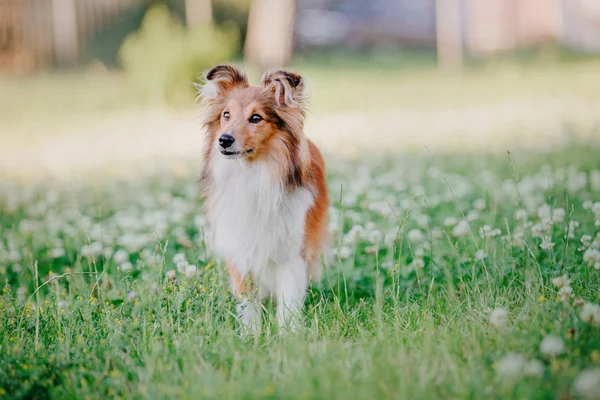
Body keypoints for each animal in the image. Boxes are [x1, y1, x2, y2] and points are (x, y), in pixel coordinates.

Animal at [198, 64, 328, 330]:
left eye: (256, 118)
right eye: (226, 115)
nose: (223, 140)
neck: (252, 172)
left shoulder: (290, 253)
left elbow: (288, 301)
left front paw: (288, 333)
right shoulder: (241, 248)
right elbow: (248, 302)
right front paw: (252, 334)